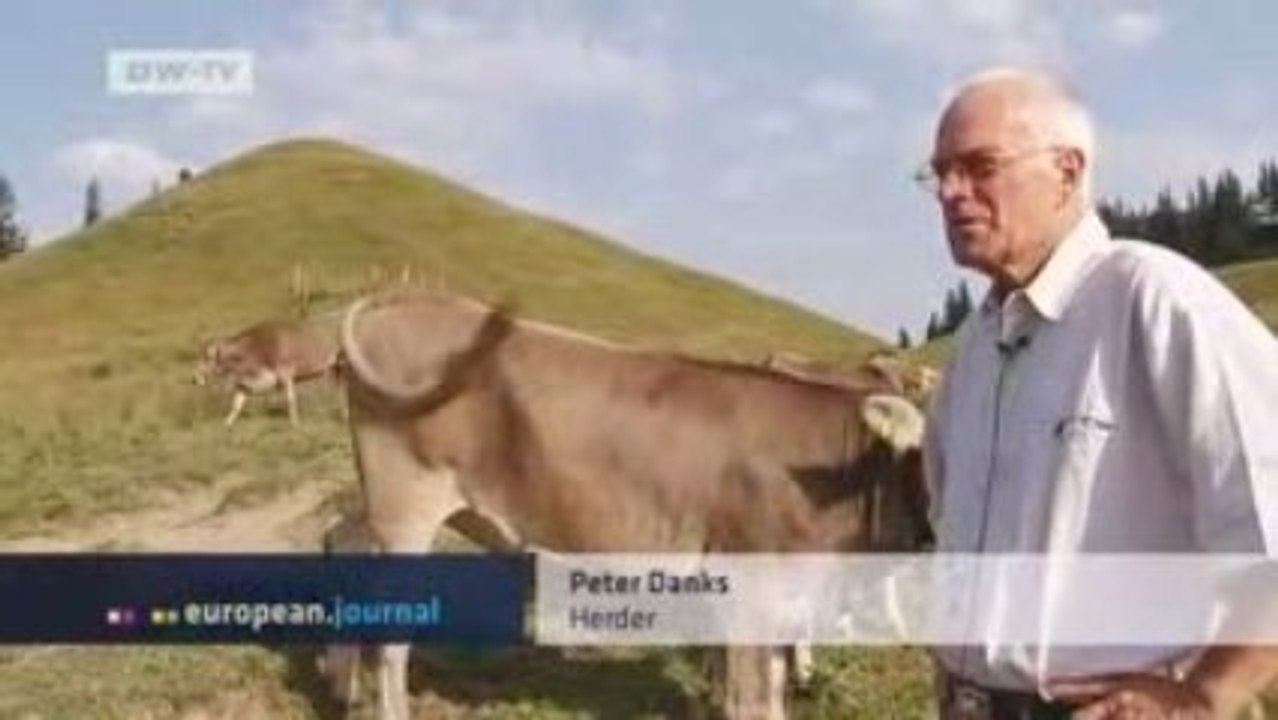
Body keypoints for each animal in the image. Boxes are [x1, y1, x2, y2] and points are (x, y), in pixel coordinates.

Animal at [195, 313, 341, 426]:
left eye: (207, 358)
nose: (194, 379)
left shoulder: (286, 374)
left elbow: (291, 399)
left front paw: (294, 423)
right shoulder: (245, 384)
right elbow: (236, 404)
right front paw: (227, 424)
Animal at [336, 291, 932, 720]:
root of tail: (401, 304)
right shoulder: (750, 583)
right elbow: (752, 701)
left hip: (382, 508)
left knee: (343, 546)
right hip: (406, 504)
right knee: (392, 639)